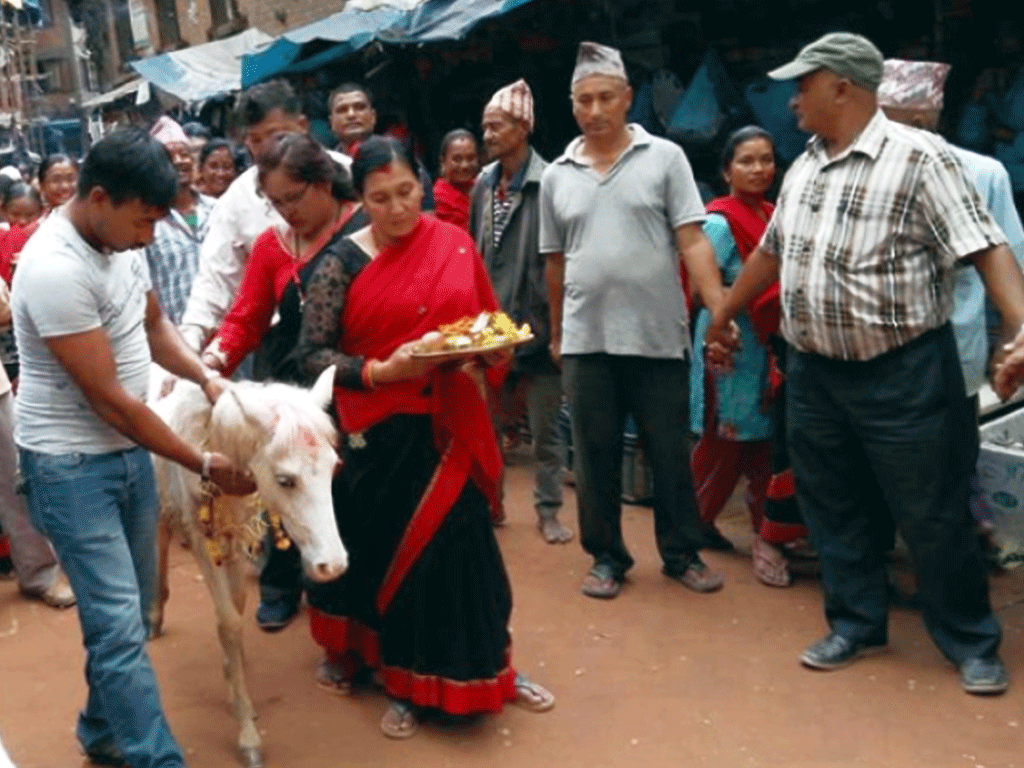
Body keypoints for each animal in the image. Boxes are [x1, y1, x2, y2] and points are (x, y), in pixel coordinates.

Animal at [149, 366, 346, 768]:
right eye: (285, 480)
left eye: (333, 468)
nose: (332, 565)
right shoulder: (200, 539)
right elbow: (227, 621)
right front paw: (247, 732)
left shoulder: (237, 535)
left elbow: (238, 607)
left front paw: (235, 677)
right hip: (163, 504)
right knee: (160, 540)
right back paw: (155, 614)